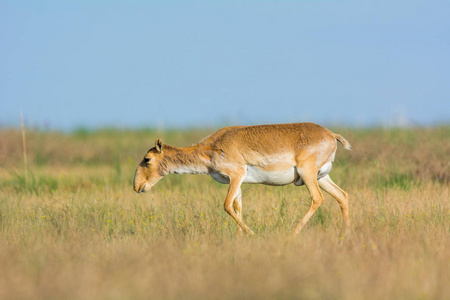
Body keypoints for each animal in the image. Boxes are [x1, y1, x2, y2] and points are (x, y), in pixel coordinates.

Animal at [134, 122, 352, 237]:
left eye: (147, 159)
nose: (137, 186)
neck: (211, 147)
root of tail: (331, 135)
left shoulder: (236, 175)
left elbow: (226, 205)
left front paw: (252, 234)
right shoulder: (237, 181)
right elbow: (237, 206)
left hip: (308, 175)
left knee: (318, 198)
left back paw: (292, 234)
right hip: (321, 177)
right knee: (342, 195)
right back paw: (344, 235)